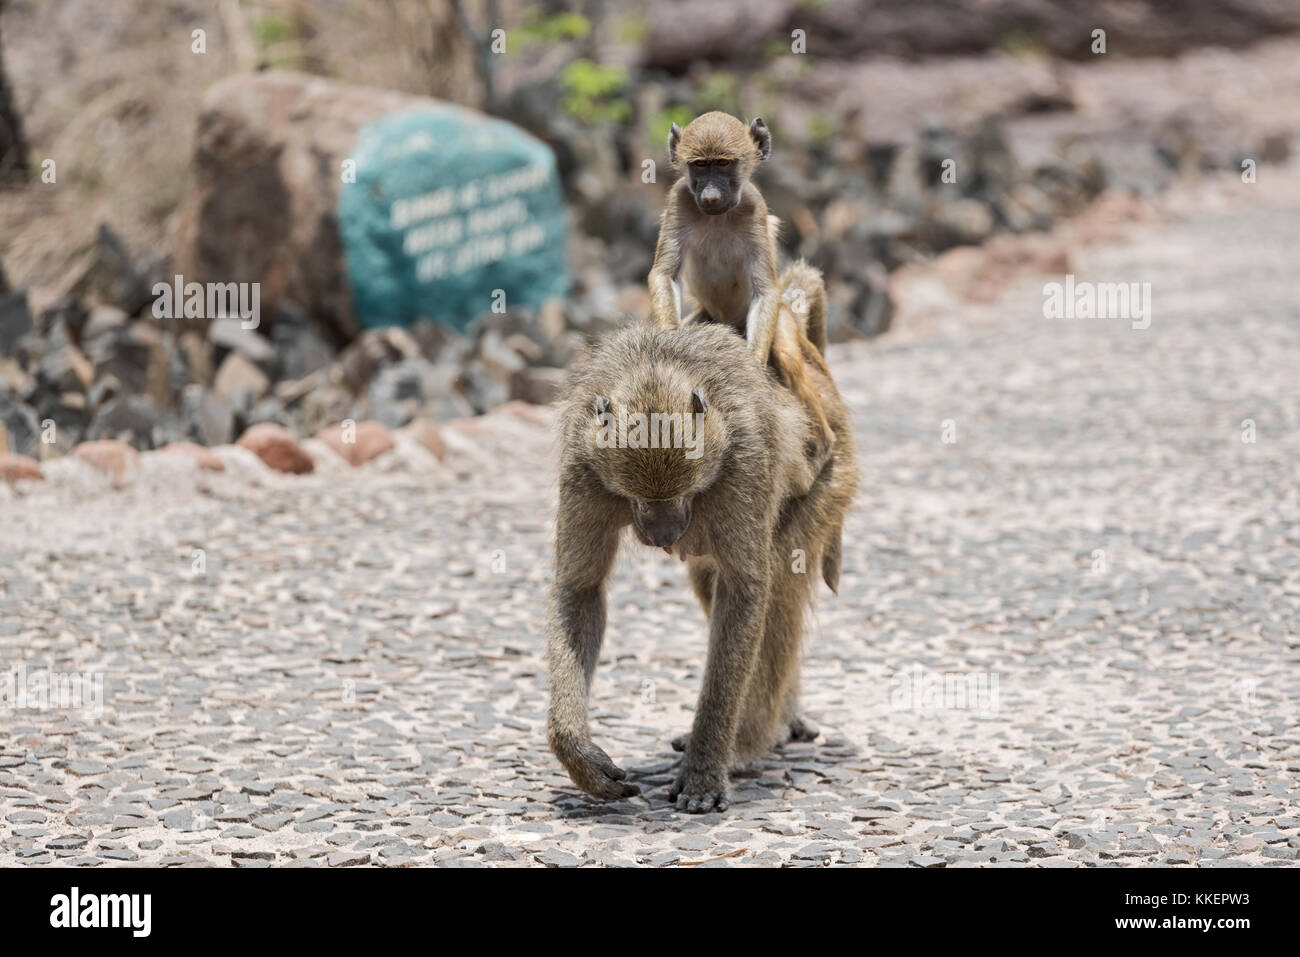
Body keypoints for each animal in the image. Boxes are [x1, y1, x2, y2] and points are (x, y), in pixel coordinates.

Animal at [545, 293, 857, 812]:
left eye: (684, 492)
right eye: (638, 497)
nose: (664, 535)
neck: (658, 367)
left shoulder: (746, 460)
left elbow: (747, 592)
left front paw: (705, 767)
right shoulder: (582, 460)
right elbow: (580, 588)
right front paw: (577, 753)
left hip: (833, 478)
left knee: (777, 579)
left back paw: (752, 738)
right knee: (712, 582)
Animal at [647, 111, 836, 491]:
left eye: (723, 164)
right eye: (700, 166)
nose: (710, 195)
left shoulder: (755, 207)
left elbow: (765, 289)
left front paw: (752, 374)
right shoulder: (678, 200)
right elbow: (663, 273)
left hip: (781, 320)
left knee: (788, 358)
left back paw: (820, 453)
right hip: (706, 316)